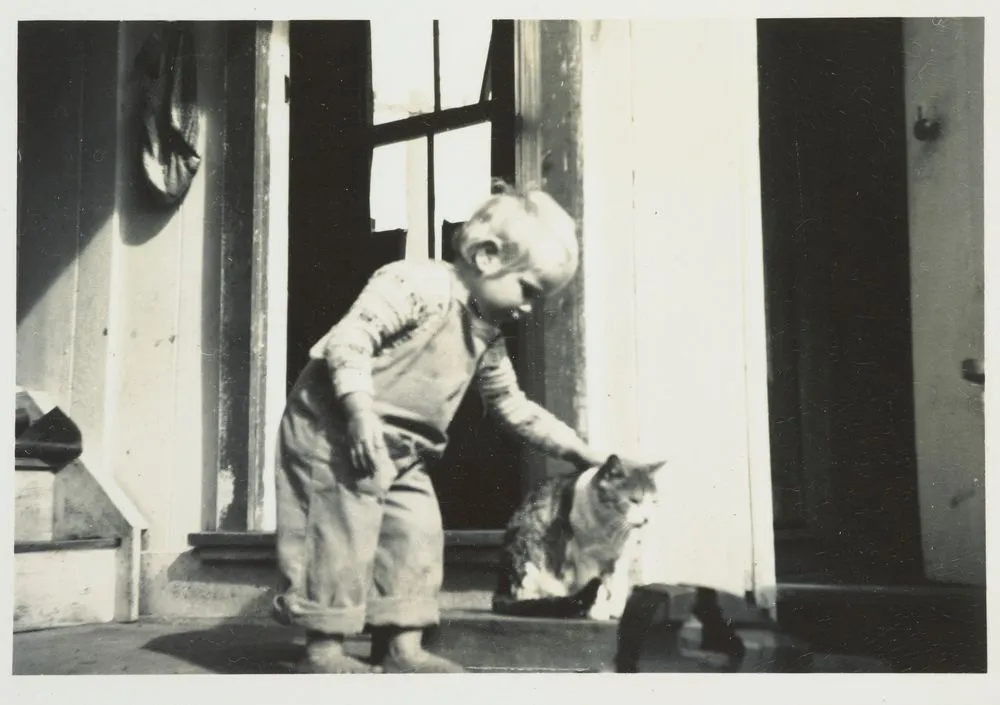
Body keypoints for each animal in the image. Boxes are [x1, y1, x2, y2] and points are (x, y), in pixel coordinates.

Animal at [492, 454, 664, 620]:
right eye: (634, 501)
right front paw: (597, 610)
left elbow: (618, 584)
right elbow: (597, 586)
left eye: (654, 502)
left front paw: (616, 608)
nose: (647, 519)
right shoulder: (585, 557)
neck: (609, 528)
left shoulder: (620, 557)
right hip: (531, 556)